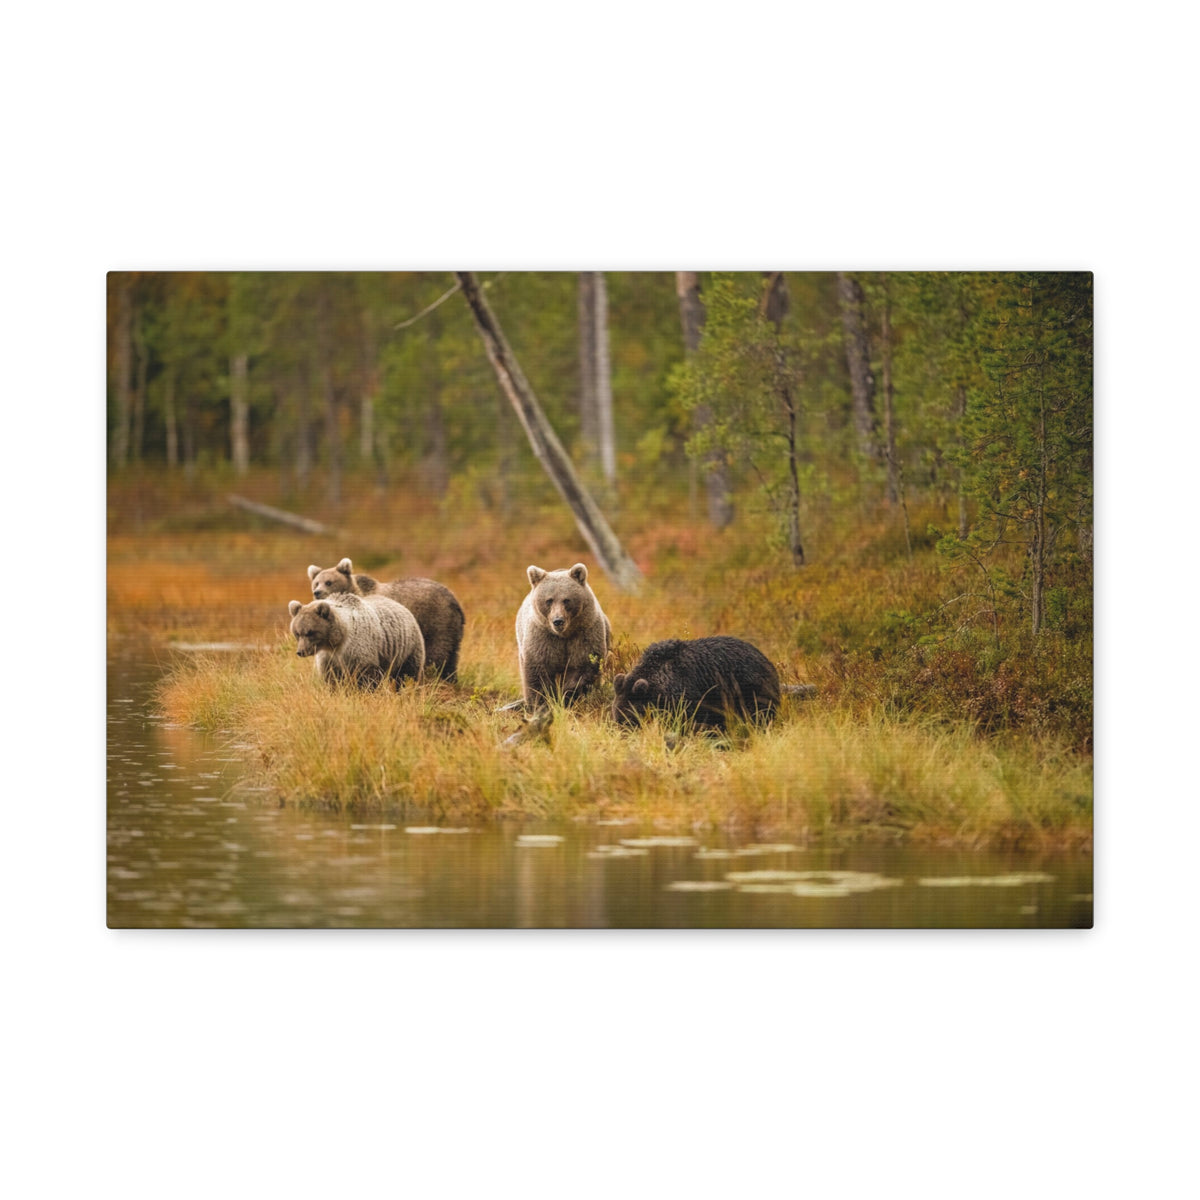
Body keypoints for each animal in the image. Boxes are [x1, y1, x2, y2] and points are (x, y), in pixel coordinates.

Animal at [288, 592, 425, 689]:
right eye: (297, 633)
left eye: (310, 632)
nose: (301, 651)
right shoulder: (328, 658)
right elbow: (331, 678)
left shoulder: (358, 649)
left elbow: (365, 676)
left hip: (407, 648)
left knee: (408, 674)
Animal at [307, 558, 464, 682]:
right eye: (316, 583)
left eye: (328, 582)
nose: (317, 592)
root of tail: (454, 600)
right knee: (451, 657)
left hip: (435, 622)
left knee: (435, 654)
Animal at [515, 562, 612, 708]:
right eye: (549, 600)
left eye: (566, 600)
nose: (558, 621)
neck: (564, 635)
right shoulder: (543, 637)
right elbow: (538, 671)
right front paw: (541, 703)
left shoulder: (584, 634)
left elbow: (583, 666)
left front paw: (568, 695)